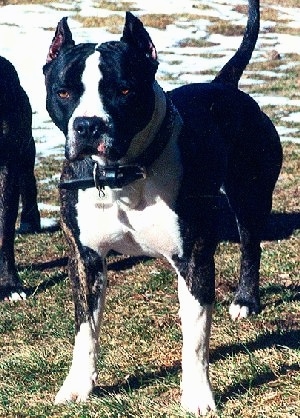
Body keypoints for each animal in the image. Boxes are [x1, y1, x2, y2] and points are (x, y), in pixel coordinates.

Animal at [43, 0, 282, 412]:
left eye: (125, 90)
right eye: (63, 92)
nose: (88, 125)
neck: (122, 176)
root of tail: (223, 85)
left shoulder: (194, 258)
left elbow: (195, 339)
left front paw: (198, 396)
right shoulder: (85, 259)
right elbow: (85, 330)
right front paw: (77, 387)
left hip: (250, 197)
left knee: (251, 246)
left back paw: (245, 300)